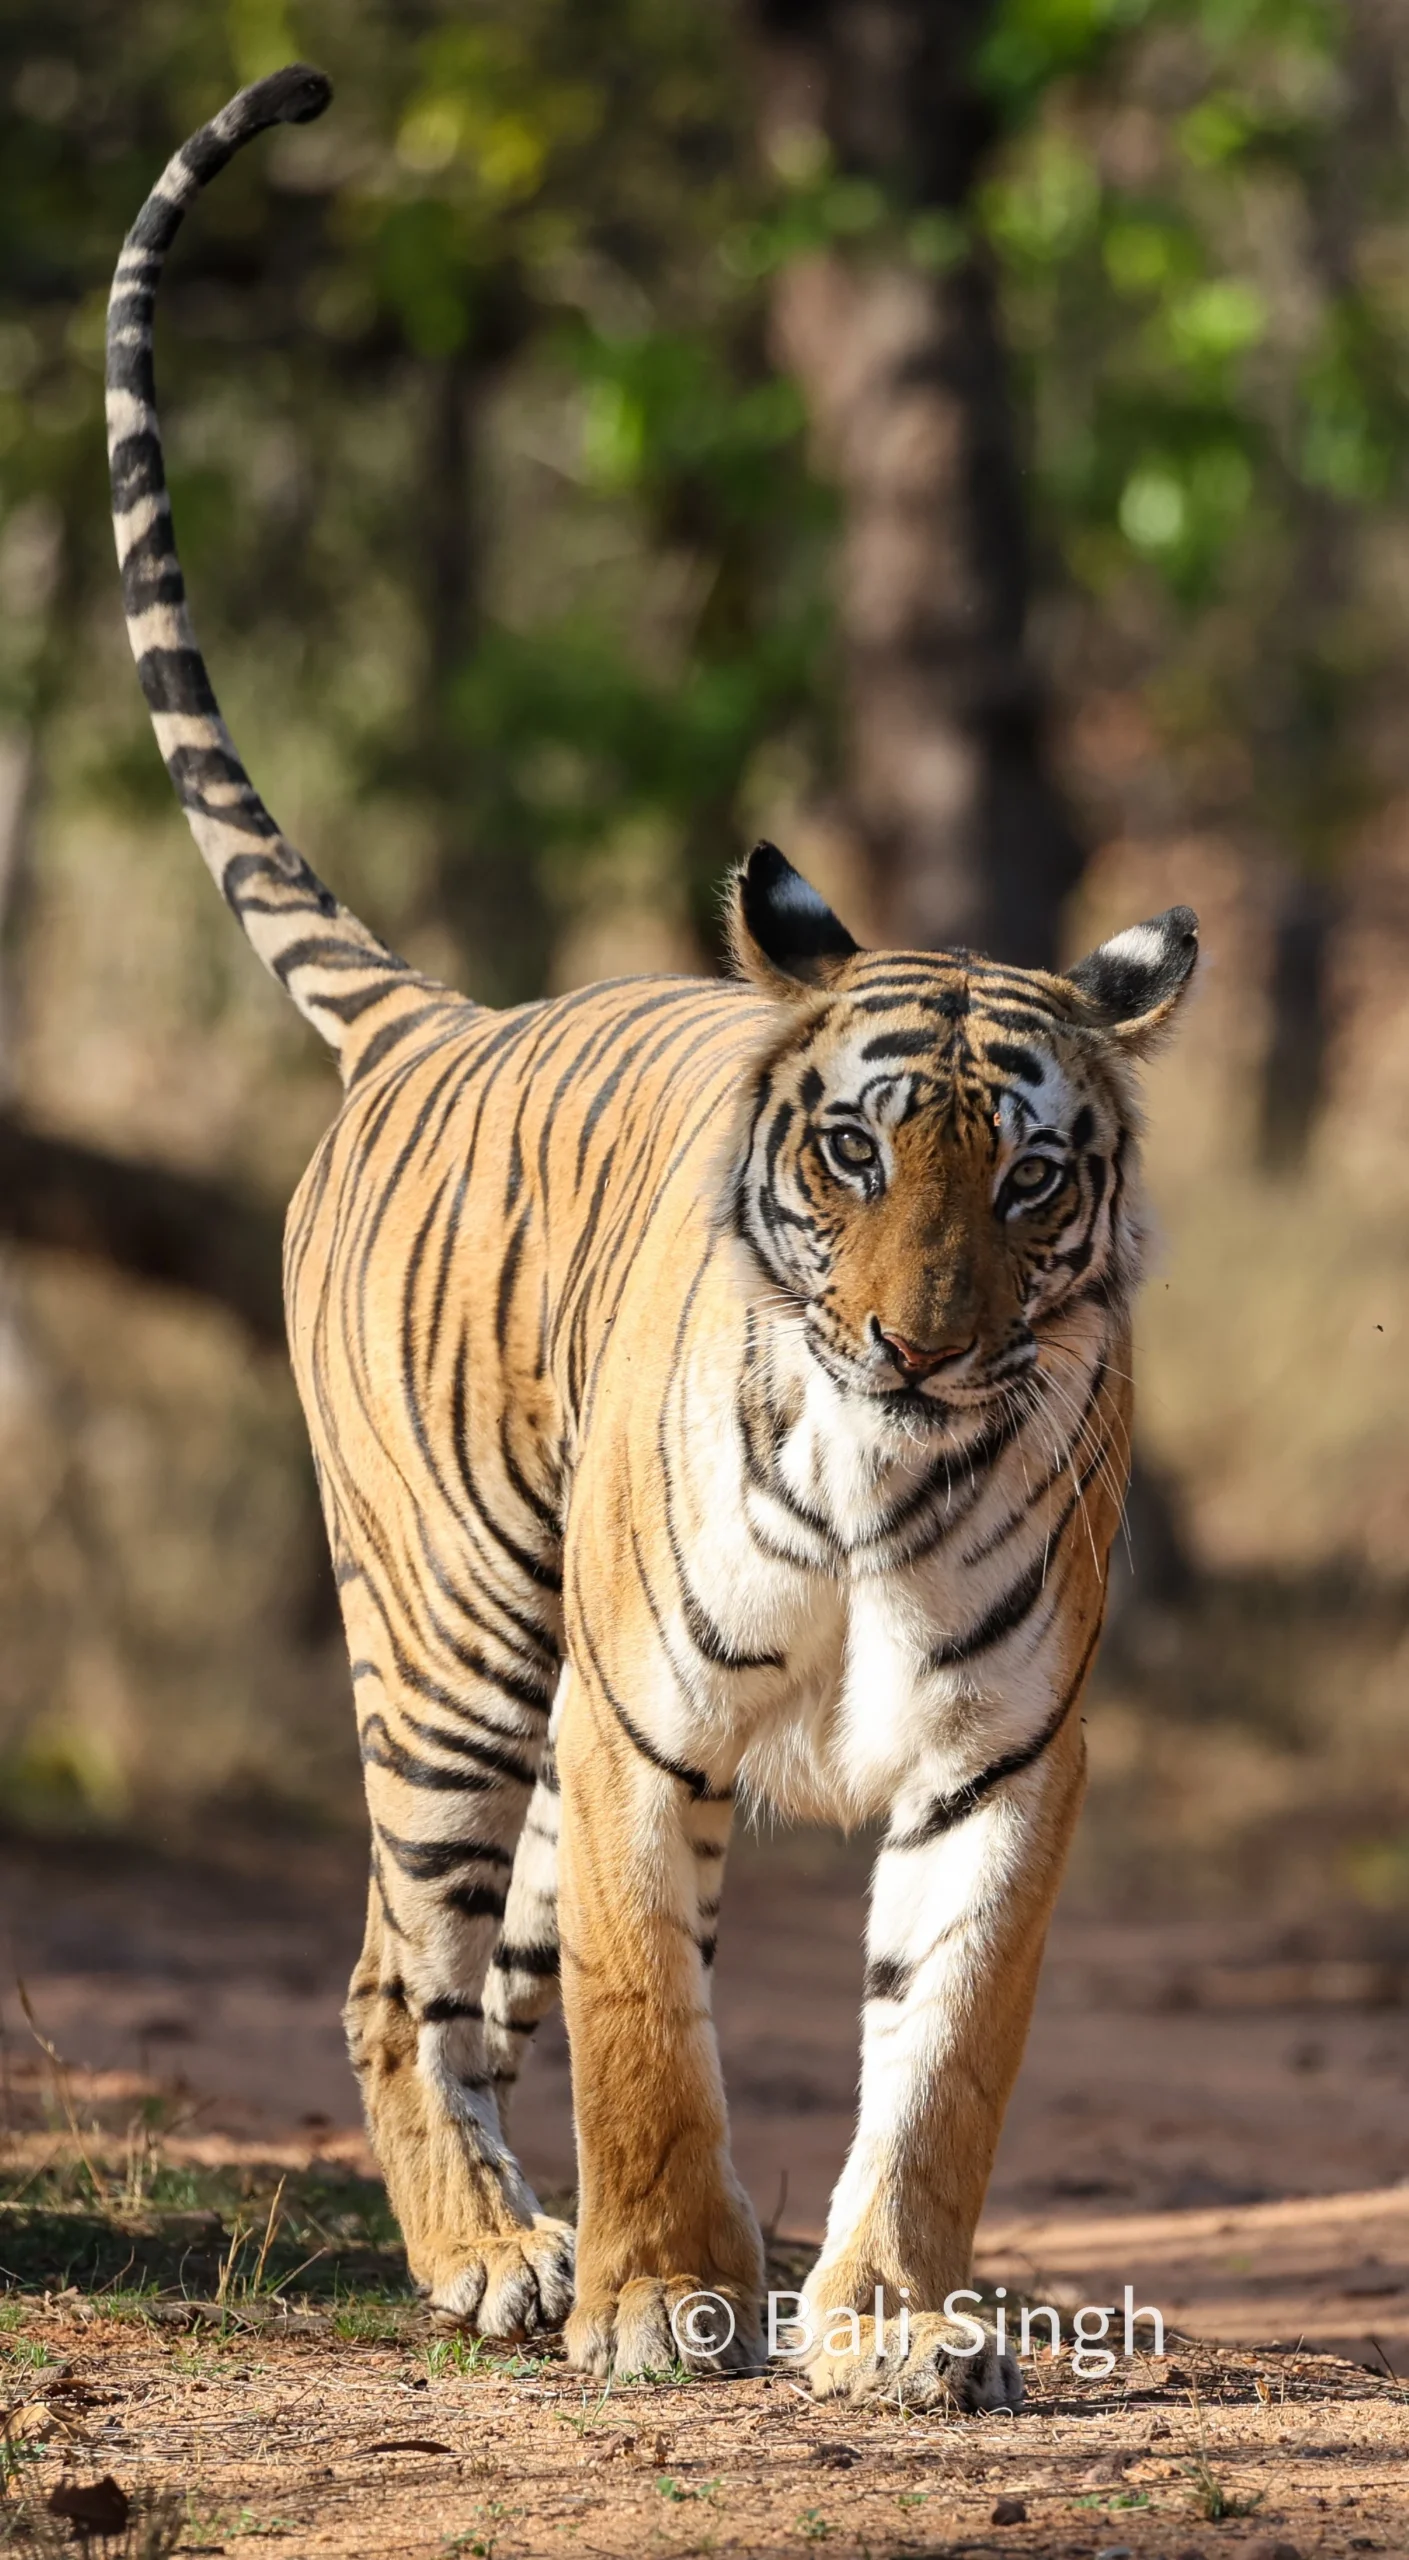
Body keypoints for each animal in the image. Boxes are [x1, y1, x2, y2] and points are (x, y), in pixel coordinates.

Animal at [106, 67, 1197, 2407]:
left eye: (1027, 1176)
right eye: (857, 1155)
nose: (909, 1348)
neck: (883, 1469)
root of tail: (438, 1016)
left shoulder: (999, 1758)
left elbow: (941, 2056)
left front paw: (886, 2322)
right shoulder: (639, 1720)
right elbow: (643, 2034)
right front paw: (653, 2298)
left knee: (467, 1972)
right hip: (454, 1640)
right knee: (391, 1969)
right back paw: (491, 2258)